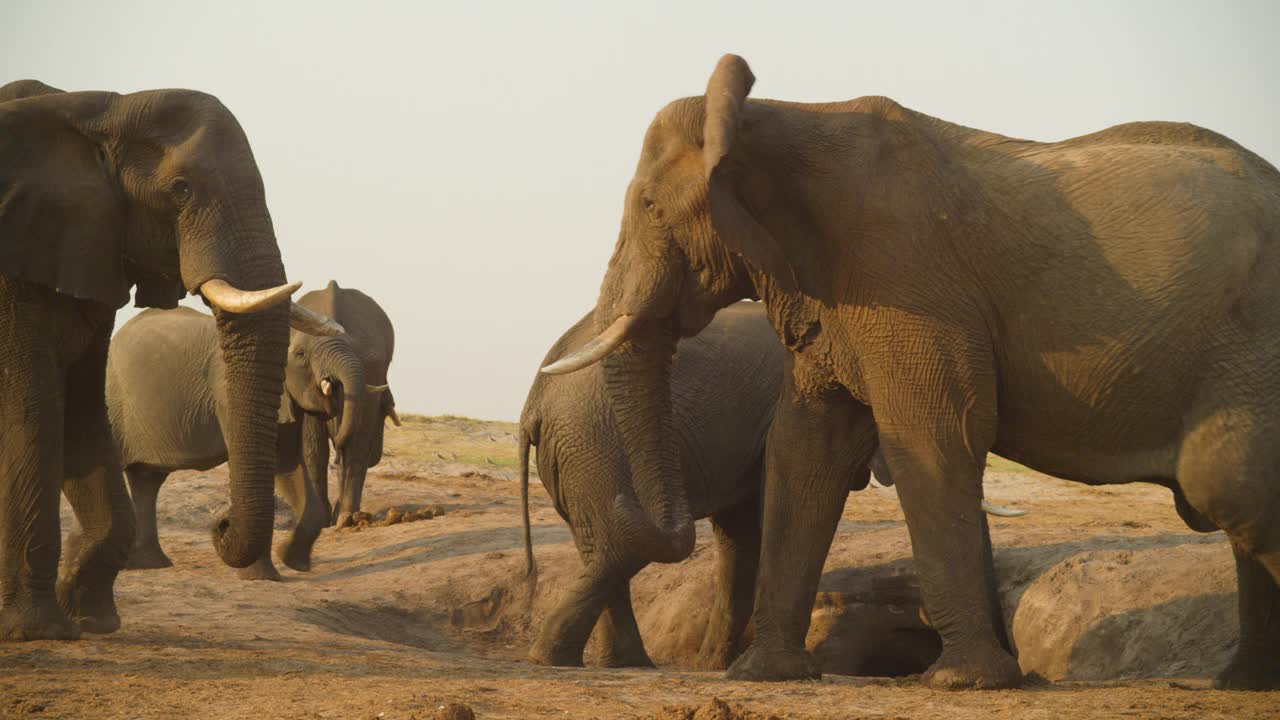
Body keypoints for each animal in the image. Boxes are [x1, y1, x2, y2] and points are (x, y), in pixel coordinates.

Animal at [0, 79, 340, 638]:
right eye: (180, 189)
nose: (219, 522)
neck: (100, 109)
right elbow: (32, 411)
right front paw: (40, 630)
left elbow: (82, 410)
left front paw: (92, 617)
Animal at [545, 53, 1280, 686]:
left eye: (649, 207)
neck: (775, 112)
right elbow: (807, 446)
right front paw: (765, 675)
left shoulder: (905, 278)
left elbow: (932, 432)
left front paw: (963, 683)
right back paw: (1241, 685)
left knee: (1228, 487)